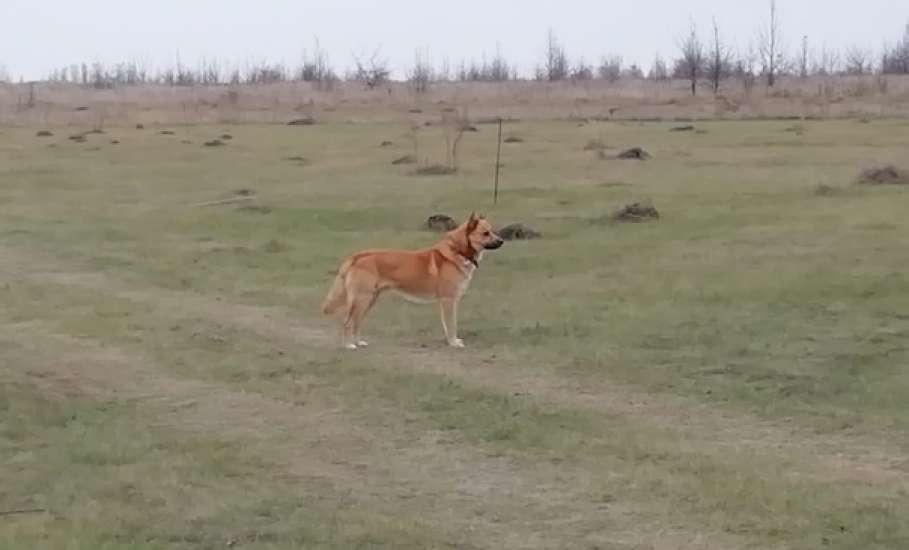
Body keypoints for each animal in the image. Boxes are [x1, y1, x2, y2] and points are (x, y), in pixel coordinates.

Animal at [320, 213, 504, 352]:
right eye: (485, 233)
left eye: (492, 231)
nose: (502, 241)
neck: (458, 251)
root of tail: (358, 256)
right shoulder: (448, 301)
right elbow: (451, 325)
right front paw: (453, 342)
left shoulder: (449, 302)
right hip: (361, 300)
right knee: (347, 322)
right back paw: (349, 345)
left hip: (369, 300)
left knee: (357, 323)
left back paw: (358, 342)